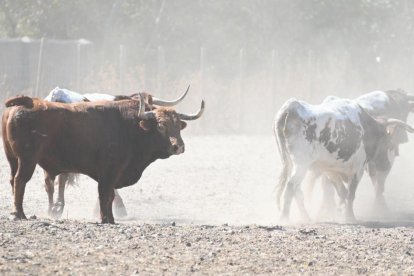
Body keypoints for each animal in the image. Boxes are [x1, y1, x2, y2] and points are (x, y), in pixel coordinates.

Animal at [2, 94, 204, 223]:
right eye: (161, 125)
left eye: (177, 125)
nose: (178, 146)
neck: (130, 126)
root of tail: (26, 102)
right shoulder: (109, 171)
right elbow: (105, 194)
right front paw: (106, 219)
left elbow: (110, 196)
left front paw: (111, 218)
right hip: (27, 160)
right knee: (20, 181)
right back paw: (19, 214)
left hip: (13, 159)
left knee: (13, 180)